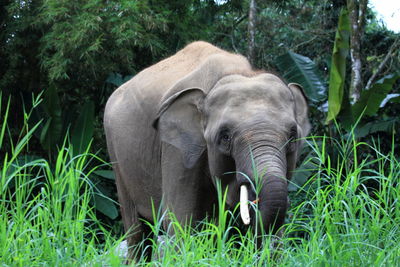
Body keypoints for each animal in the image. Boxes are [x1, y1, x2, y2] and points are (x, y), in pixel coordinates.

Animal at [103, 41, 310, 260]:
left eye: (292, 136)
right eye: (225, 136)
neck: (238, 73)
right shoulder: (177, 151)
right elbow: (180, 219)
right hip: (116, 156)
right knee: (137, 231)